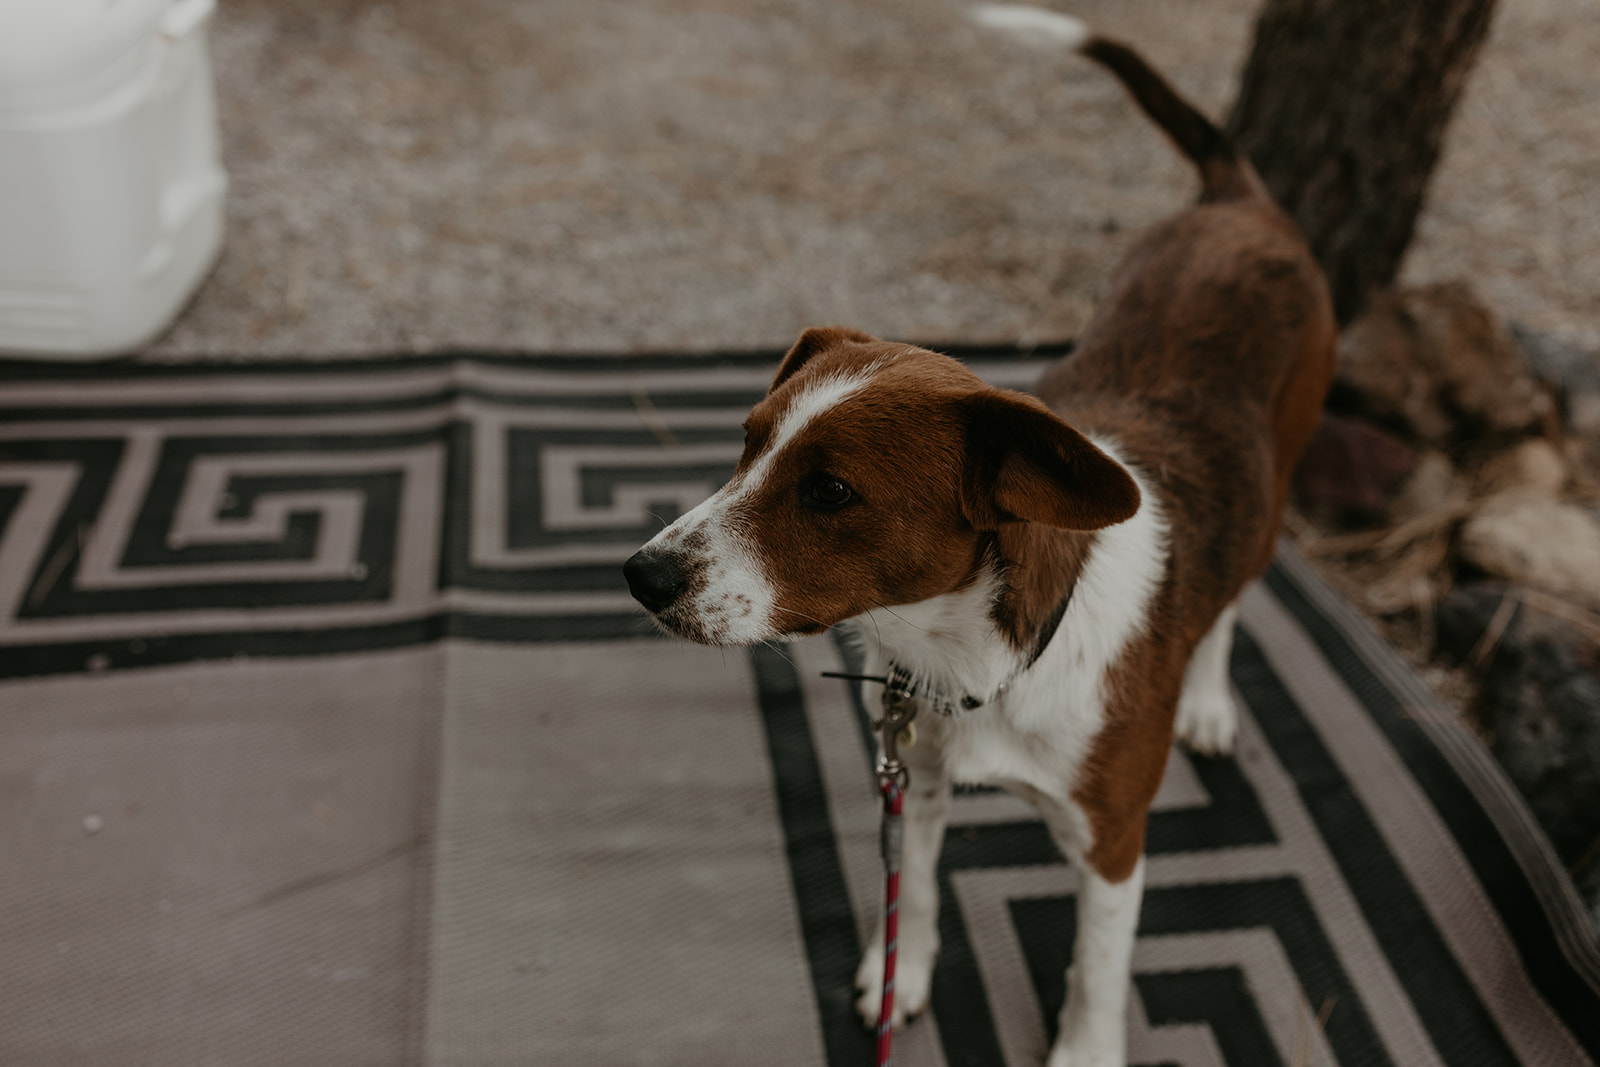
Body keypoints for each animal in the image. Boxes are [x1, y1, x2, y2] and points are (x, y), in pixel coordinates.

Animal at [624, 10, 1337, 1067]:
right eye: (747, 442)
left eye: (830, 490)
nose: (641, 574)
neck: (969, 657)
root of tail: (1241, 202)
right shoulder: (914, 782)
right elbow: (914, 892)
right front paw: (899, 977)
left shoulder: (1113, 841)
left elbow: (1096, 969)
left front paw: (1084, 1050)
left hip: (1278, 482)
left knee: (1237, 591)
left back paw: (1209, 698)